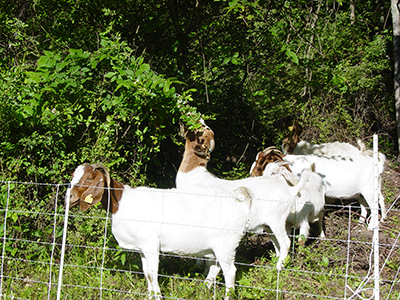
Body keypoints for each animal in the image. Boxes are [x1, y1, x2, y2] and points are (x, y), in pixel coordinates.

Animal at [67, 164, 252, 300]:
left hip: (227, 245)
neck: (123, 203)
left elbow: (152, 273)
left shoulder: (151, 245)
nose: (69, 197)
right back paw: (204, 289)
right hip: (217, 247)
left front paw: (157, 296)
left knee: (230, 272)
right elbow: (146, 272)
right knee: (216, 268)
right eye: (73, 176)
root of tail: (239, 203)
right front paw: (150, 295)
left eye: (88, 178)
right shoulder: (142, 248)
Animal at [252, 149, 386, 231]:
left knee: (375, 206)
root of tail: (376, 164)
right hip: (360, 193)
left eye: (263, 161)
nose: (252, 174)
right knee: (366, 206)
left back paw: (372, 227)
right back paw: (361, 224)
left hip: (369, 191)